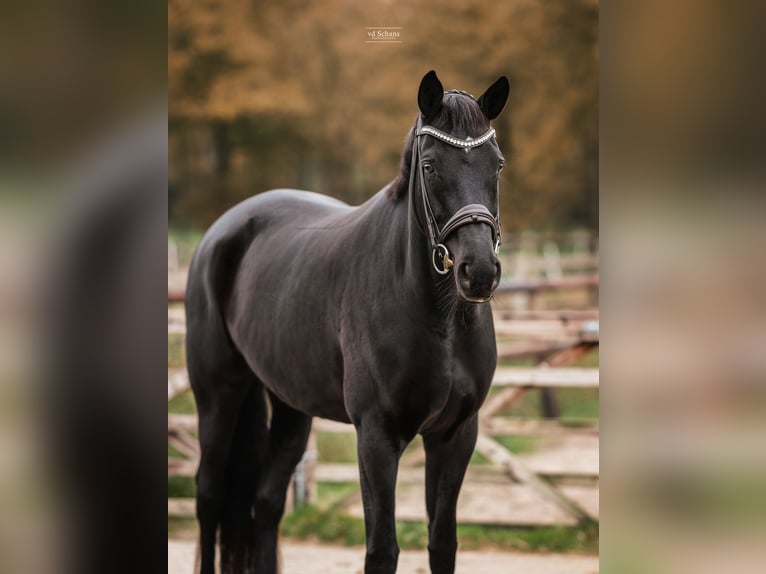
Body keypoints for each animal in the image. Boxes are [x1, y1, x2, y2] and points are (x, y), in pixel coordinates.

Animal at [186, 72, 510, 574]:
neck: (441, 320)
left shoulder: (455, 435)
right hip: (218, 396)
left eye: (496, 166)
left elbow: (442, 544)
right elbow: (382, 550)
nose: (478, 271)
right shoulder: (376, 437)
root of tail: (222, 231)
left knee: (267, 502)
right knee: (209, 497)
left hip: (291, 406)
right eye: (431, 167)